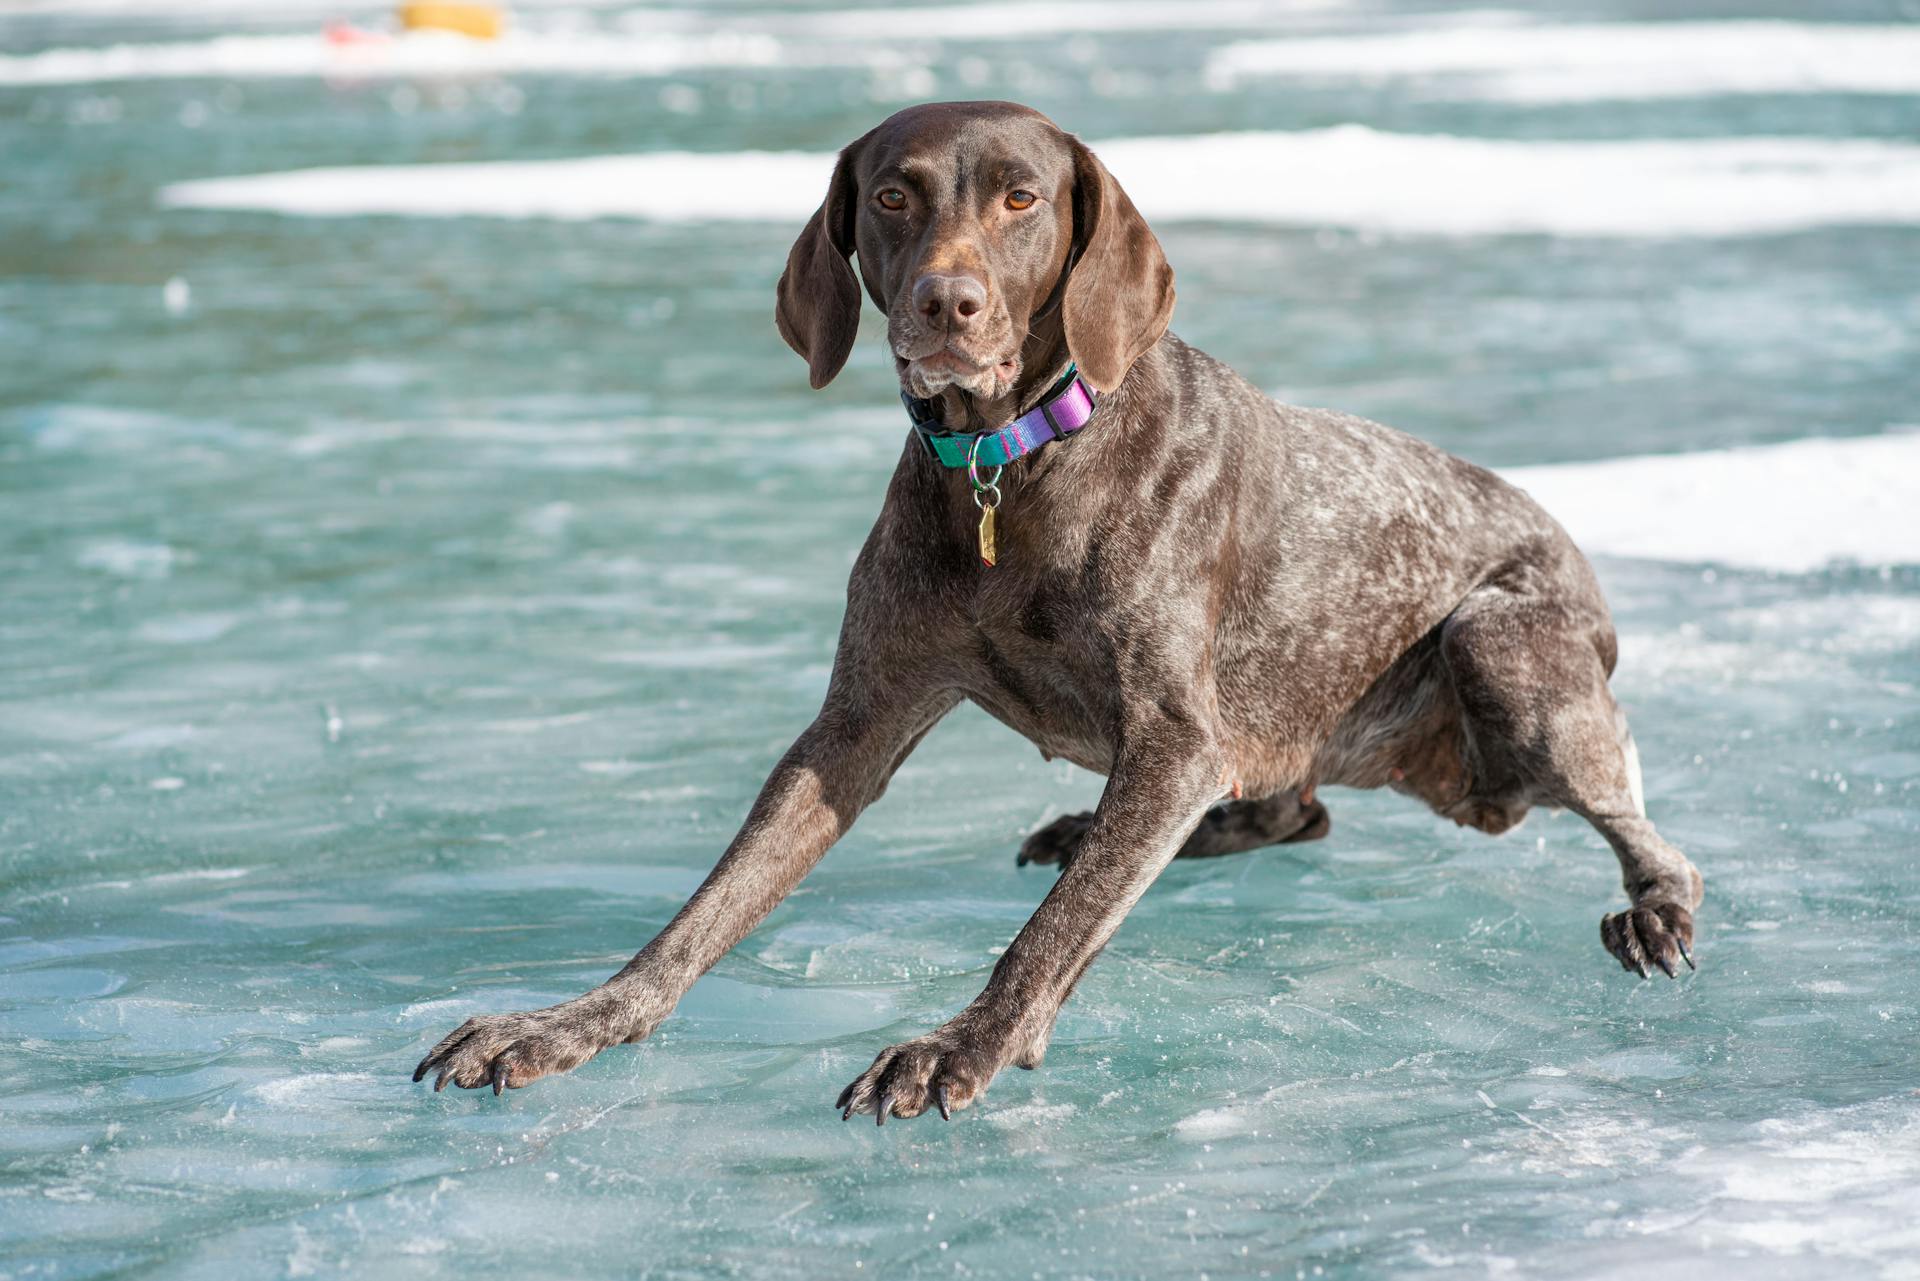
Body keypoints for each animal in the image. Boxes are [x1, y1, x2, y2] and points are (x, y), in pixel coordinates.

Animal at [412, 100, 1704, 1121]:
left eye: (1023, 199)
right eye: (893, 194)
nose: (948, 304)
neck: (1008, 462)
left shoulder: (1176, 737)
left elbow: (1050, 935)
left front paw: (958, 1046)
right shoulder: (852, 727)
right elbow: (704, 913)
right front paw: (573, 1020)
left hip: (1504, 652)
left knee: (1655, 838)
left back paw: (1651, 911)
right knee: (1287, 812)